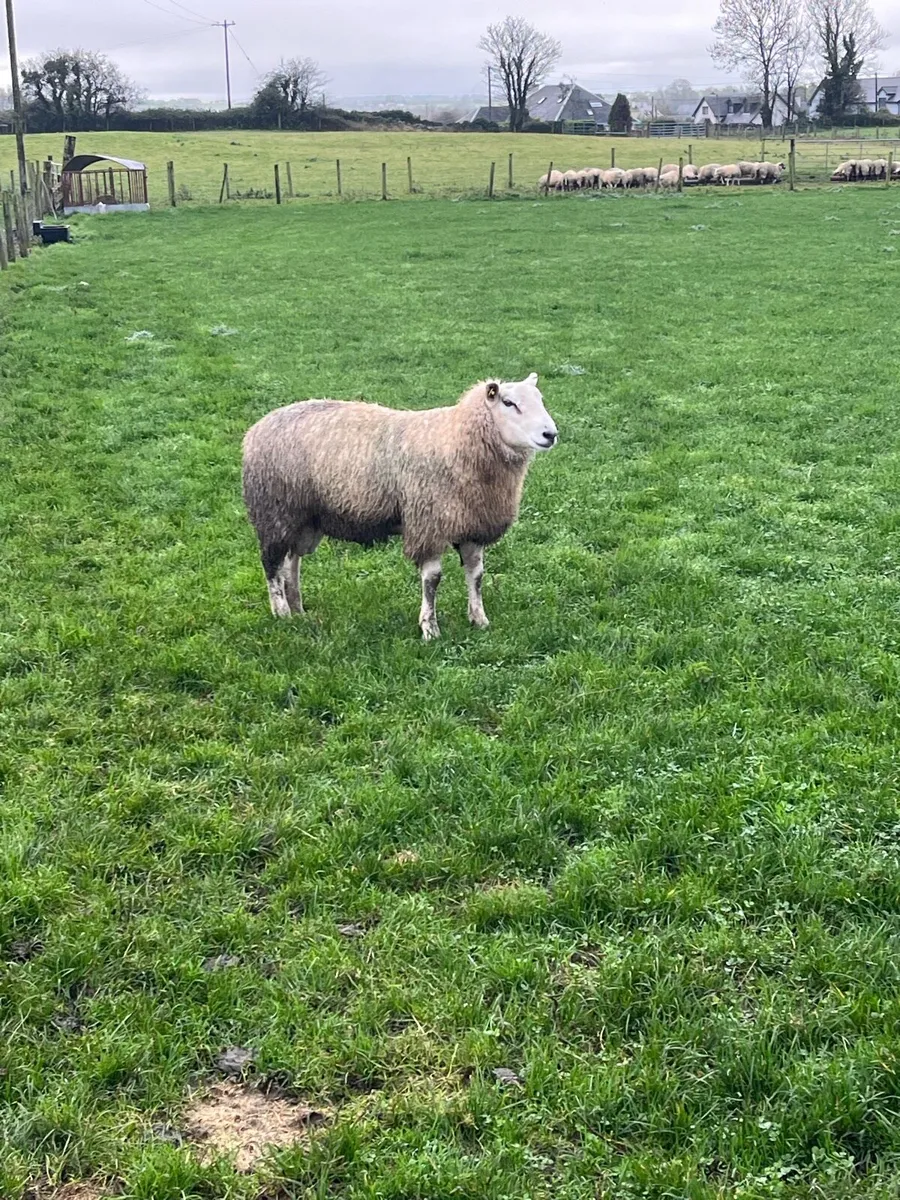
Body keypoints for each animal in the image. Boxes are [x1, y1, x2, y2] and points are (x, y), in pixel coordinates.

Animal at [242, 376, 558, 641]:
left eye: (540, 399)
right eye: (509, 403)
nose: (550, 434)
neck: (456, 440)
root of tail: (256, 429)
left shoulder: (472, 524)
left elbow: (477, 575)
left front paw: (479, 620)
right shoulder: (428, 524)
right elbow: (432, 580)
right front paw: (430, 629)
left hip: (305, 518)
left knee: (291, 561)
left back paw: (297, 609)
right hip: (275, 510)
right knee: (272, 563)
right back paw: (282, 613)